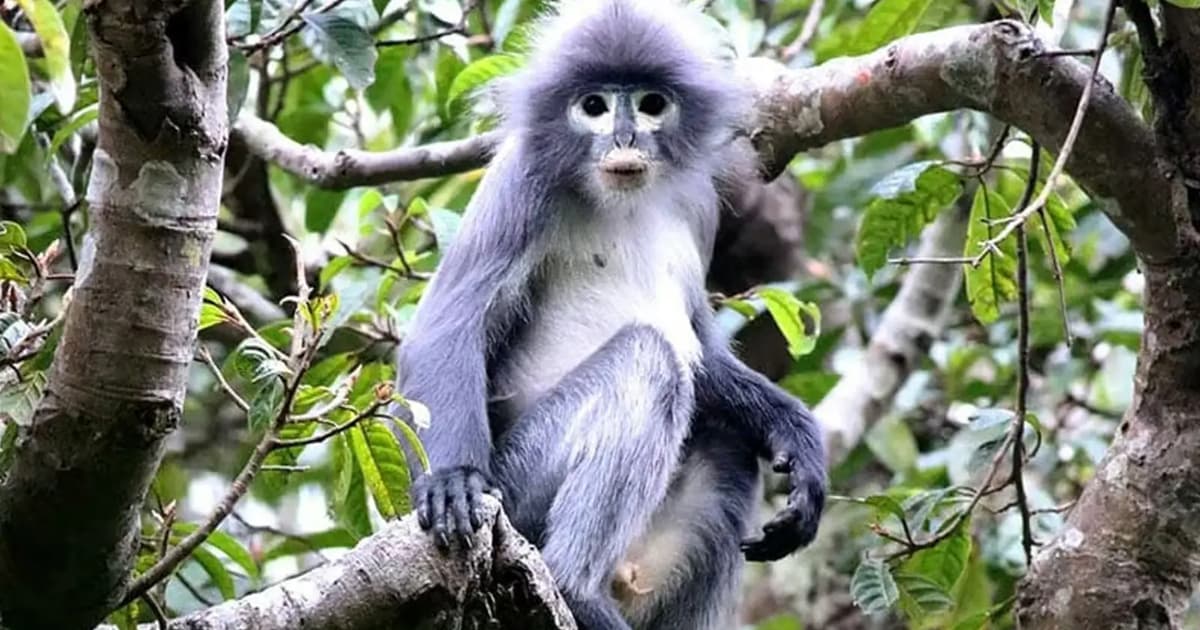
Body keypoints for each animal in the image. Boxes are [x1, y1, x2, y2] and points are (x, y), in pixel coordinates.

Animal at [392, 1, 827, 628]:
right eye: (594, 107)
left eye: (650, 104)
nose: (624, 137)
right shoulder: (523, 180)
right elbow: (448, 326)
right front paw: (450, 481)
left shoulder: (697, 202)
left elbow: (702, 348)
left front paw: (798, 435)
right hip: (518, 490)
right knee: (649, 360)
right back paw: (575, 588)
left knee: (727, 438)